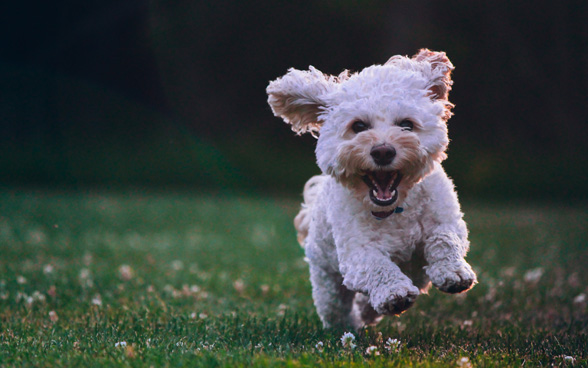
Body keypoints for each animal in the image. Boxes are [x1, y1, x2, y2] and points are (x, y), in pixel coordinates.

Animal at [266, 49, 478, 330]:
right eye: (358, 126)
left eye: (407, 124)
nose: (383, 151)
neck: (395, 209)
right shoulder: (356, 252)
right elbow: (376, 265)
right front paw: (394, 293)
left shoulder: (447, 219)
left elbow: (444, 239)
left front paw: (453, 272)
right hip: (326, 278)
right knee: (336, 307)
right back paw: (350, 325)